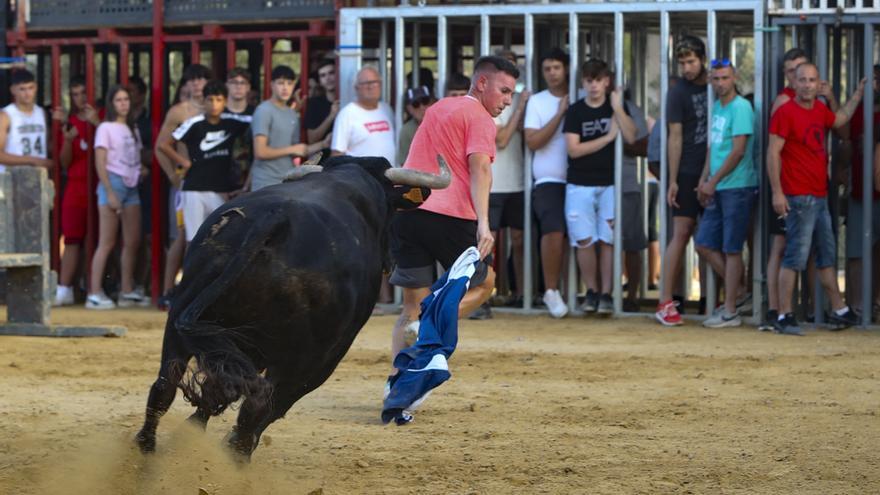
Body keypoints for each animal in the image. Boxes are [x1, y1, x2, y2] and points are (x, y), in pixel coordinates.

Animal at [134, 155, 450, 458]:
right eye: (392, 213)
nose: (391, 261)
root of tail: (274, 221)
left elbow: (216, 392)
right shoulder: (325, 356)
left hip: (182, 315)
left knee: (165, 386)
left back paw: (146, 455)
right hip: (301, 356)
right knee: (260, 404)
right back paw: (237, 457)